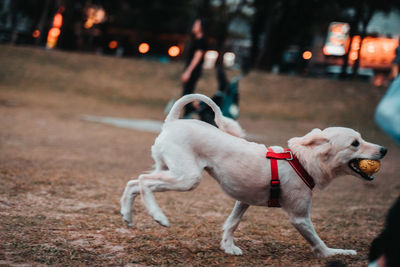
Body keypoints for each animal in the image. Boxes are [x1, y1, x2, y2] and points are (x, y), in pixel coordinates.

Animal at [119, 94, 388, 260]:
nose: (384, 150)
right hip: (187, 178)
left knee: (133, 183)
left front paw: (228, 247)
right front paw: (336, 253)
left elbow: (231, 223)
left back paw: (127, 216)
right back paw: (158, 216)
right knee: (143, 182)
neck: (301, 162)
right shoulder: (300, 217)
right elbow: (318, 243)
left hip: (168, 169)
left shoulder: (244, 200)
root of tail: (173, 121)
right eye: (355, 143)